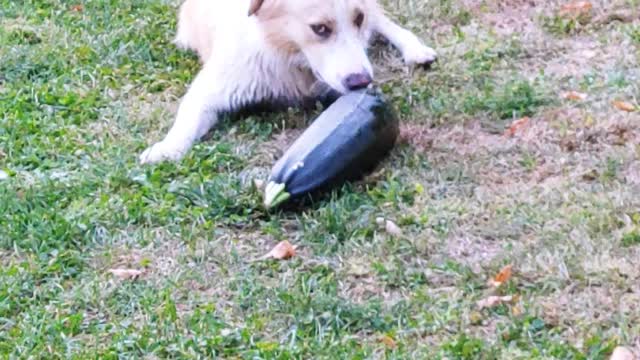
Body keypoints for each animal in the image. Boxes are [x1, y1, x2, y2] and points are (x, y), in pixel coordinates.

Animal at [140, 0, 438, 165]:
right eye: (320, 29)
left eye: (358, 19)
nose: (361, 82)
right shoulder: (212, 88)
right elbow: (186, 122)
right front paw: (166, 149)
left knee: (385, 22)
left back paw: (415, 49)